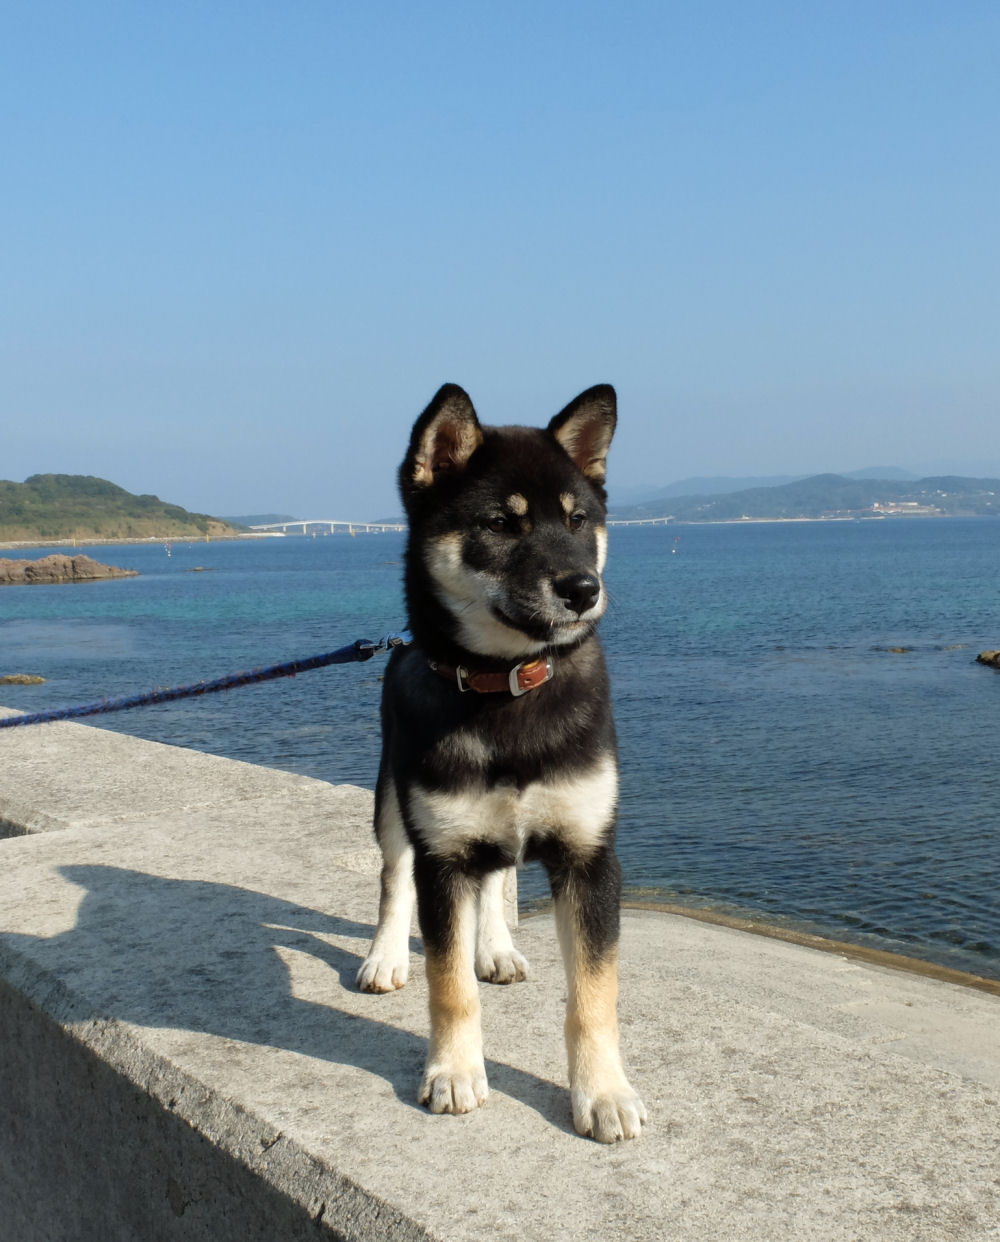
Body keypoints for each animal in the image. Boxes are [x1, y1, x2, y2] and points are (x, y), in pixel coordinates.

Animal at [357, 383, 646, 1143]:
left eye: (578, 520)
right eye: (498, 524)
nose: (583, 588)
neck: (506, 683)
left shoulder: (590, 854)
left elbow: (595, 995)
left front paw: (603, 1092)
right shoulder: (443, 854)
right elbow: (449, 986)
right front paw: (455, 1072)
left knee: (495, 878)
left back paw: (495, 946)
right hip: (393, 796)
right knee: (394, 876)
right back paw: (386, 954)